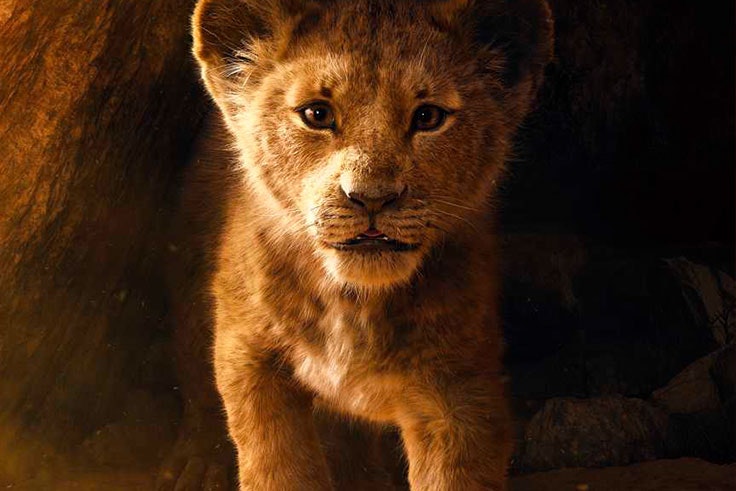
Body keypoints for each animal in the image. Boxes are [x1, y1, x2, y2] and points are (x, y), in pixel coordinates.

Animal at [157, 0, 553, 489]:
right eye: (317, 115)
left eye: (428, 117)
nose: (371, 197)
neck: (353, 303)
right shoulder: (248, 355)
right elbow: (276, 464)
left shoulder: (460, 387)